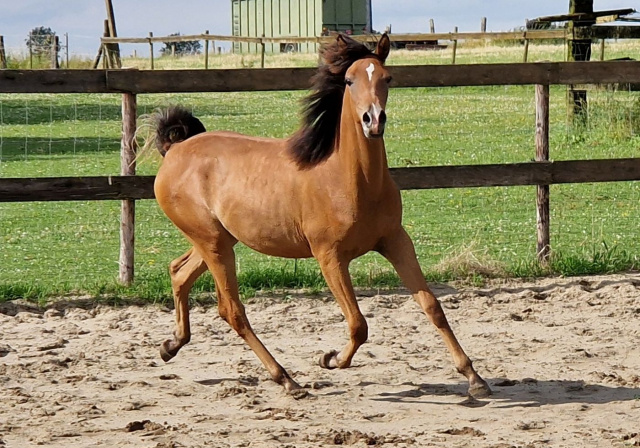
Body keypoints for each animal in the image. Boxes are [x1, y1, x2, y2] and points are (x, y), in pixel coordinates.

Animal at [152, 35, 492, 398]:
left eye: (387, 78)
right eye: (350, 80)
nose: (374, 120)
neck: (349, 180)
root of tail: (174, 150)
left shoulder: (396, 241)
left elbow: (432, 307)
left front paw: (475, 379)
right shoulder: (329, 256)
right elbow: (358, 324)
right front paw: (330, 359)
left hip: (218, 240)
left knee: (178, 272)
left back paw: (170, 346)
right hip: (213, 242)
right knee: (232, 310)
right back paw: (288, 380)